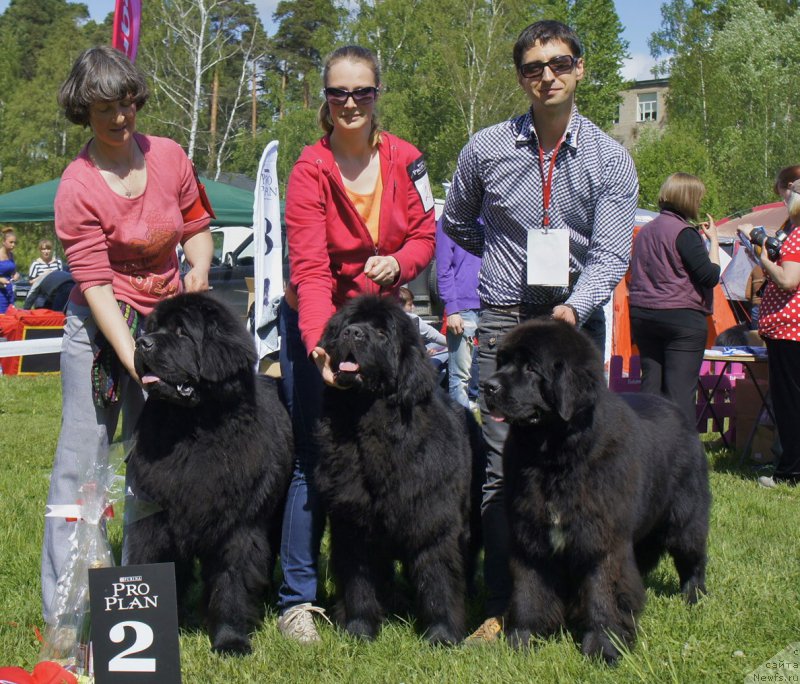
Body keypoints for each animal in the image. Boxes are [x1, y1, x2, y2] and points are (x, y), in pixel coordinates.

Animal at [128, 292, 294, 656]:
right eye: (152, 328)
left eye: (181, 332)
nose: (141, 343)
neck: (192, 430)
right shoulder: (156, 518)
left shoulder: (238, 526)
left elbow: (231, 582)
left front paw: (230, 640)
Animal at [316, 296, 484, 648]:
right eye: (346, 324)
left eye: (382, 333)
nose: (353, 333)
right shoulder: (353, 523)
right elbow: (359, 583)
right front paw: (360, 629)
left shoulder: (433, 520)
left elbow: (438, 579)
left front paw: (441, 635)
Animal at [484, 320, 708, 664]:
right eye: (502, 362)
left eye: (532, 368)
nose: (488, 386)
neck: (554, 458)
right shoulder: (530, 535)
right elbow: (529, 591)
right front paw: (522, 639)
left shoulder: (602, 538)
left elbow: (603, 593)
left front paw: (605, 647)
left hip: (684, 516)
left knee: (692, 556)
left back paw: (694, 597)